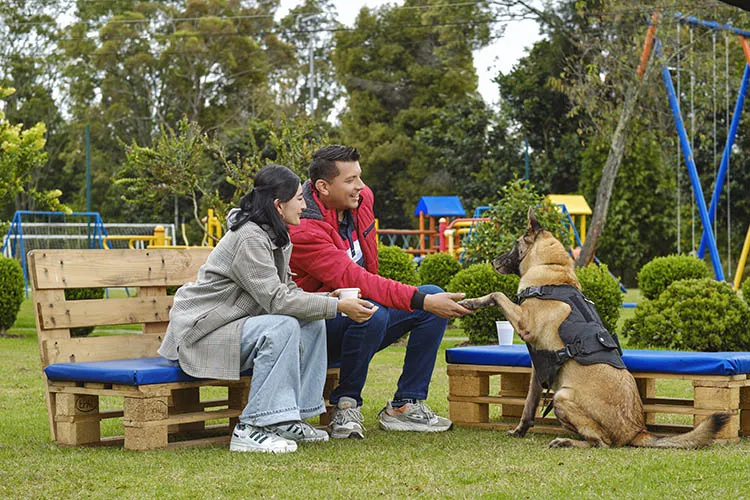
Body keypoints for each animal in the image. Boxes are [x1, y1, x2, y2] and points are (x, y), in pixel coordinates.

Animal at [458, 207, 728, 450]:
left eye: (514, 244)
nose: (492, 261)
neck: (552, 267)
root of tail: (637, 430)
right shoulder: (538, 370)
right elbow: (528, 406)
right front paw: (520, 430)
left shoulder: (525, 324)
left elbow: (497, 294)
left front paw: (472, 302)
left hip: (562, 397)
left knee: (602, 443)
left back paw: (567, 442)